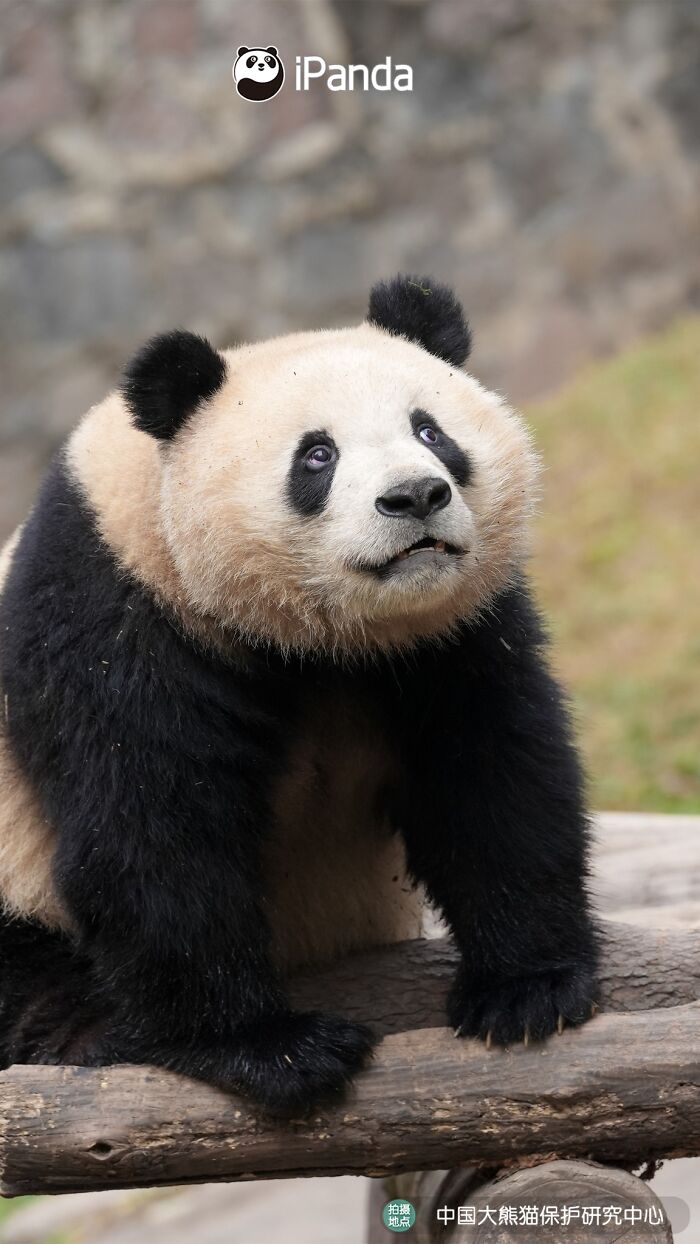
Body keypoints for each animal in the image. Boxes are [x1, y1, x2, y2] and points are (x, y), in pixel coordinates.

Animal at [0, 275, 599, 1114]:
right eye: (317, 455)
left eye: (431, 431)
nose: (415, 496)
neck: (319, 641)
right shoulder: (115, 609)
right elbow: (150, 819)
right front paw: (266, 1047)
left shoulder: (446, 634)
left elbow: (493, 772)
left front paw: (527, 989)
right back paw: (87, 1036)